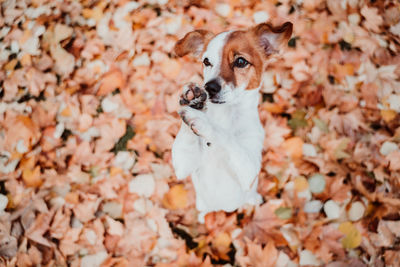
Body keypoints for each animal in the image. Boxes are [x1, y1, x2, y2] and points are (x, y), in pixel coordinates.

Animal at [170, 21, 292, 223]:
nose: (209, 87)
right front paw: (191, 101)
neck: (225, 115)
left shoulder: (250, 169)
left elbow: (227, 138)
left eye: (240, 62)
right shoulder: (183, 166)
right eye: (206, 61)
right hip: (202, 203)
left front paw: (203, 121)